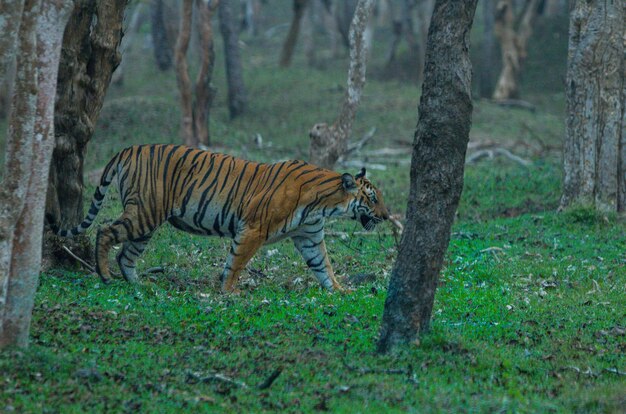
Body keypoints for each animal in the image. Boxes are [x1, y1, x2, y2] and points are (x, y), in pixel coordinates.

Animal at [48, 144, 388, 292]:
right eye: (373, 199)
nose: (387, 216)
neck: (325, 204)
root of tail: (129, 148)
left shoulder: (310, 237)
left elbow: (323, 266)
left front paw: (340, 291)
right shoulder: (253, 229)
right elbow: (236, 262)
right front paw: (230, 292)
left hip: (146, 222)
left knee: (127, 255)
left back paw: (139, 284)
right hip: (143, 212)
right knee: (105, 231)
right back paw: (105, 275)